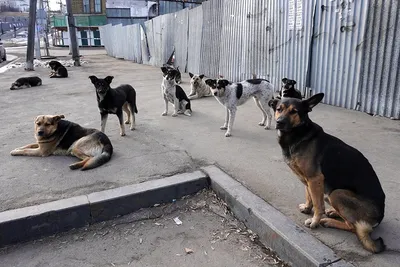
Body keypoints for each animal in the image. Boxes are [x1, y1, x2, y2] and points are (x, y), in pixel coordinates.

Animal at [268, 93, 386, 253]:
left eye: (294, 111)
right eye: (279, 109)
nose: (279, 122)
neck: (299, 134)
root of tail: (379, 217)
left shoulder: (315, 178)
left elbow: (318, 205)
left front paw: (314, 221)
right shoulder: (308, 180)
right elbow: (309, 196)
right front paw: (307, 208)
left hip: (336, 193)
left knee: (353, 227)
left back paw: (329, 221)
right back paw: (333, 213)